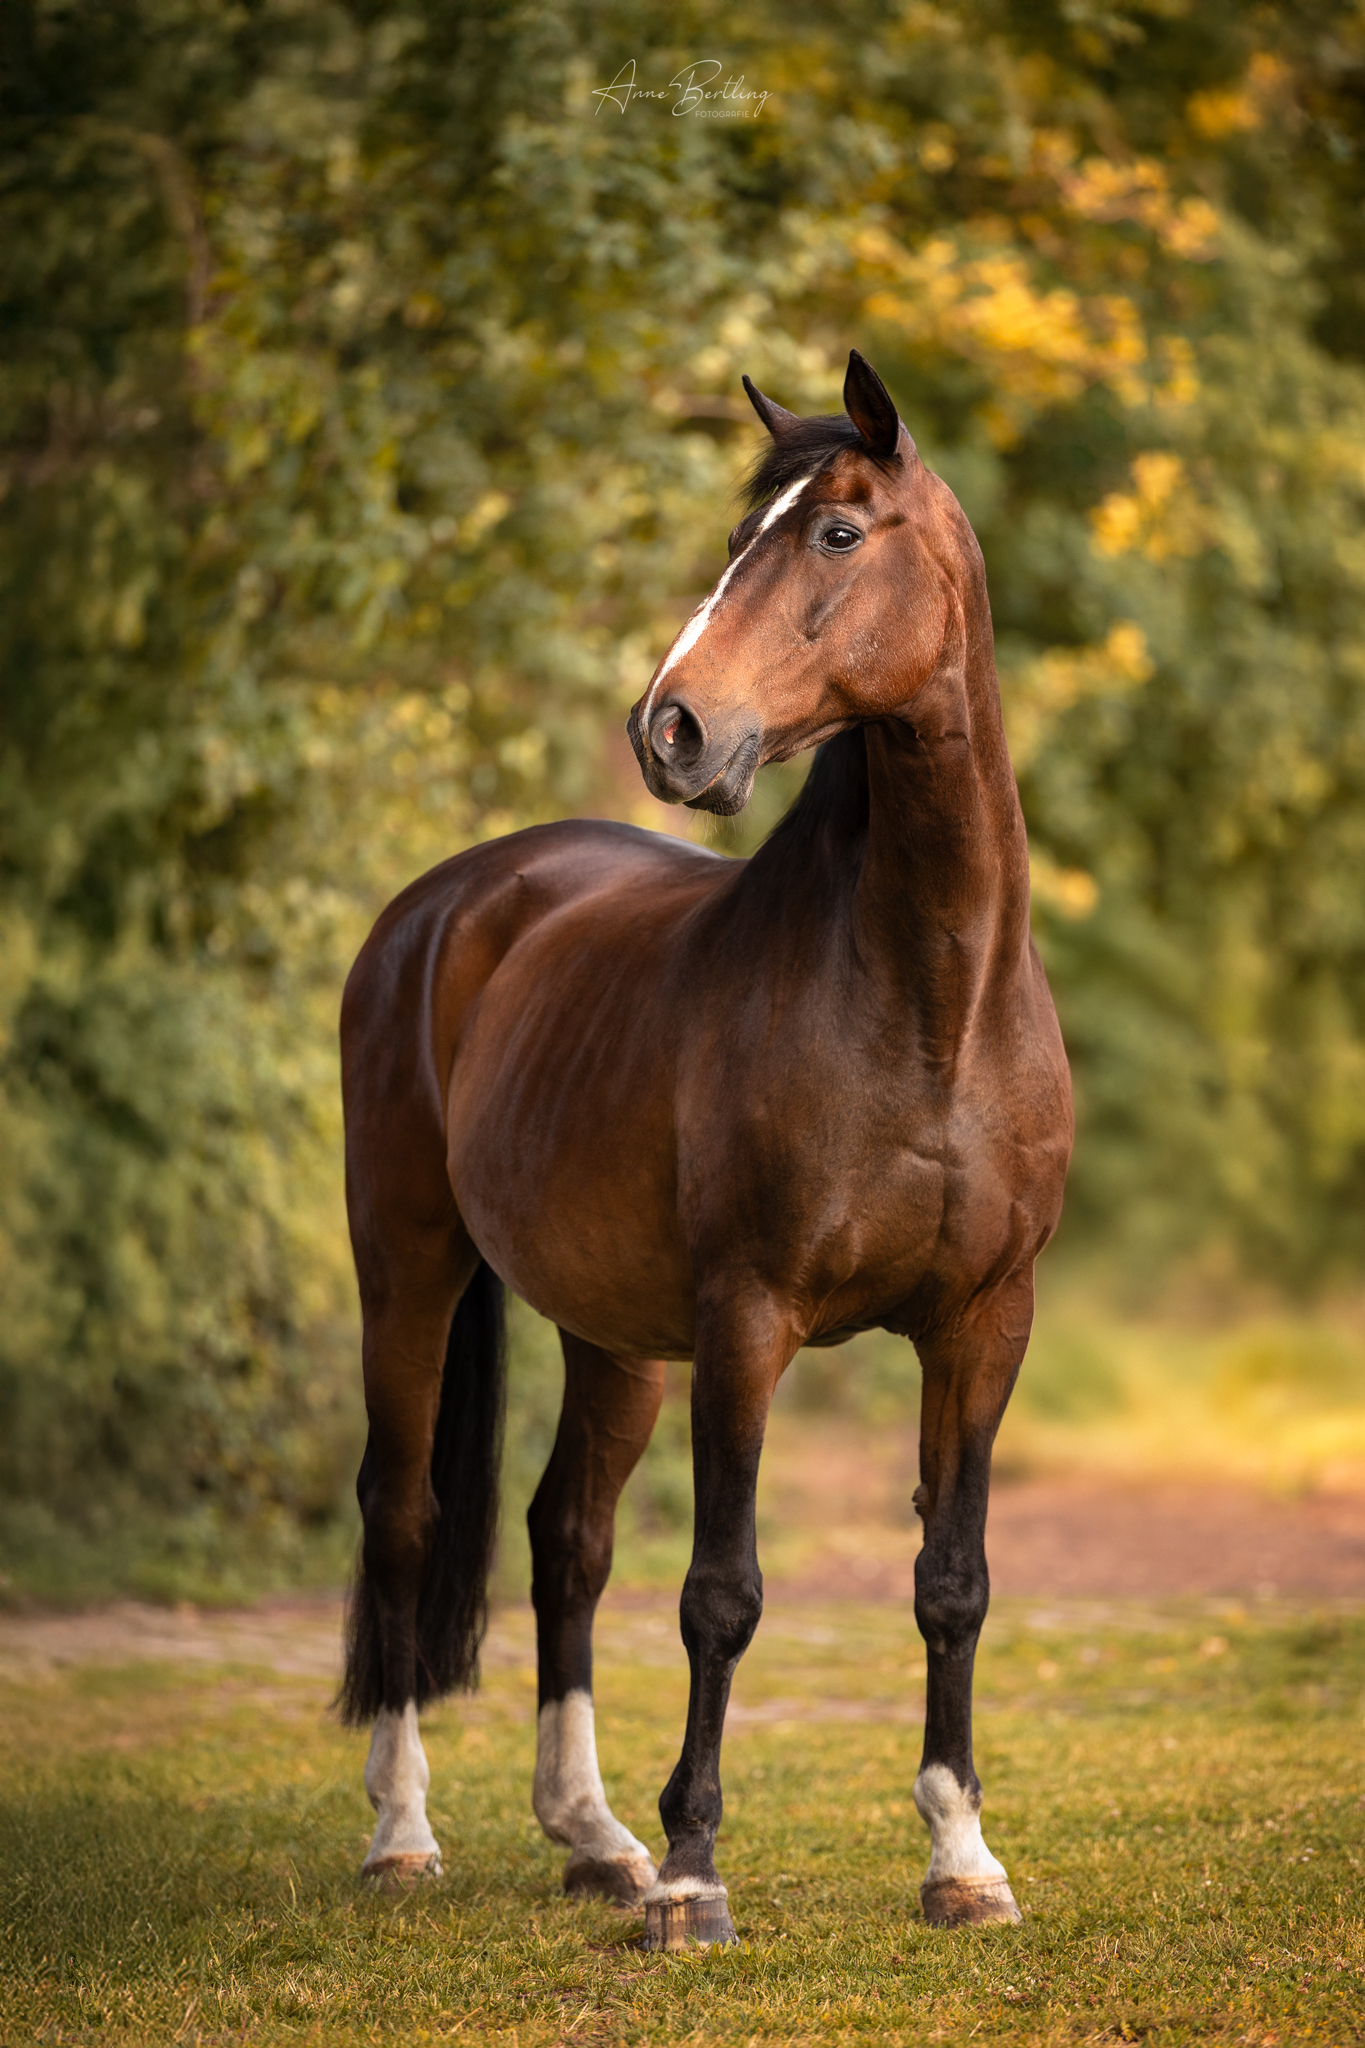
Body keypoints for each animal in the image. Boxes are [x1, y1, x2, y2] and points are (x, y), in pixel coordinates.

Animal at [337, 350, 1073, 1947]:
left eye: (838, 534)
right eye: (743, 535)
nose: (668, 729)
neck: (927, 1002)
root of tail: (446, 903)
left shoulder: (984, 1323)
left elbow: (953, 1580)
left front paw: (962, 1860)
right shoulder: (750, 1319)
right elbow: (722, 1591)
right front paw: (692, 1878)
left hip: (613, 1333)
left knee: (563, 1535)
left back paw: (590, 1833)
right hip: (410, 1270)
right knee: (406, 1514)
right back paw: (408, 1834)